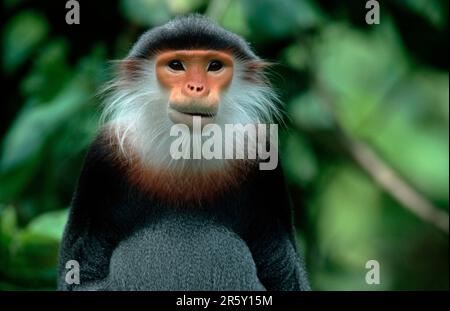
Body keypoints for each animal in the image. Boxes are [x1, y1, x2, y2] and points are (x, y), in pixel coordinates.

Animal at [59, 14, 310, 292]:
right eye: (176, 65)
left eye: (214, 66)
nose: (196, 87)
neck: (186, 148)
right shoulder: (102, 157)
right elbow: (81, 273)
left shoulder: (263, 156)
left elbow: (283, 272)